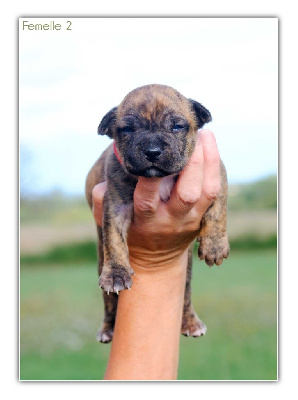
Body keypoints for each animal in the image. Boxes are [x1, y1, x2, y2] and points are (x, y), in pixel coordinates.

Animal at [85, 83, 229, 342]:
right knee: (109, 300)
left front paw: (214, 245)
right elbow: (114, 239)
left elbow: (218, 208)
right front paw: (117, 273)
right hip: (101, 264)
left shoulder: (217, 175)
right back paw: (108, 327)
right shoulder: (116, 203)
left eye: (177, 126)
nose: (152, 151)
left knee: (186, 293)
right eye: (127, 130)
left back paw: (191, 322)